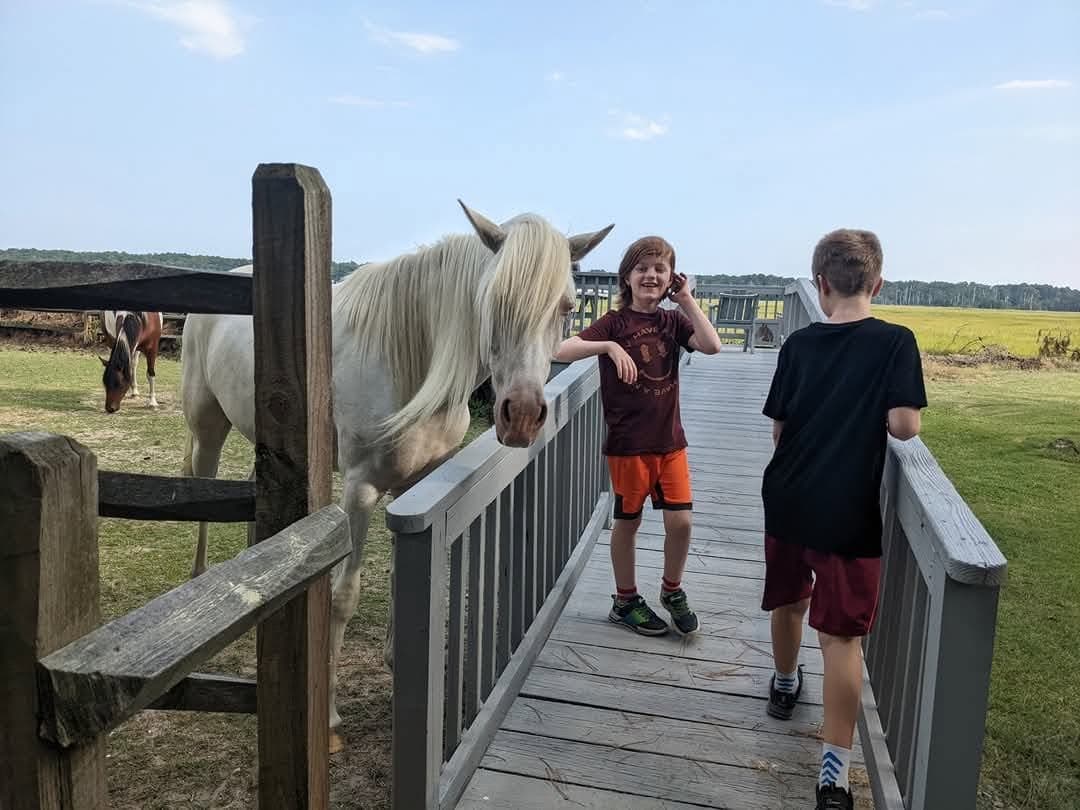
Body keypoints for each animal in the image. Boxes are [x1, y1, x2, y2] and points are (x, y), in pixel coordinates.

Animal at [178, 201, 613, 752]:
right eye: (492, 300)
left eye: (565, 306)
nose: (521, 416)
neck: (410, 361)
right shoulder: (359, 492)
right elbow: (343, 597)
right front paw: (330, 721)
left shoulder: (415, 485)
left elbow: (393, 578)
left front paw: (393, 662)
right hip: (207, 425)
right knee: (202, 484)